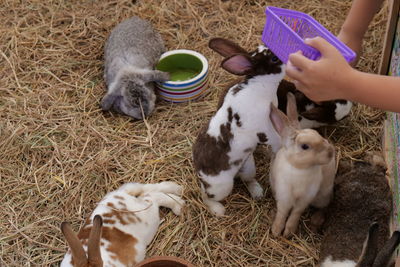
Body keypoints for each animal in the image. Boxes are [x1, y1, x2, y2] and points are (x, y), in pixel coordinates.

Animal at [193, 38, 284, 218]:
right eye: (274, 59)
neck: (260, 84)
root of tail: (201, 175)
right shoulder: (263, 130)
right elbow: (275, 139)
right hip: (222, 187)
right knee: (206, 196)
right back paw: (218, 210)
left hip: (248, 166)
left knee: (247, 179)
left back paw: (257, 192)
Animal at [268, 93, 336, 238]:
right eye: (305, 146)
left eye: (318, 134)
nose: (330, 152)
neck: (300, 169)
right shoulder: (284, 195)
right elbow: (282, 213)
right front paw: (276, 231)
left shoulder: (305, 198)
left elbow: (296, 213)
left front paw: (288, 232)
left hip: (322, 196)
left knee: (325, 206)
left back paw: (317, 219)